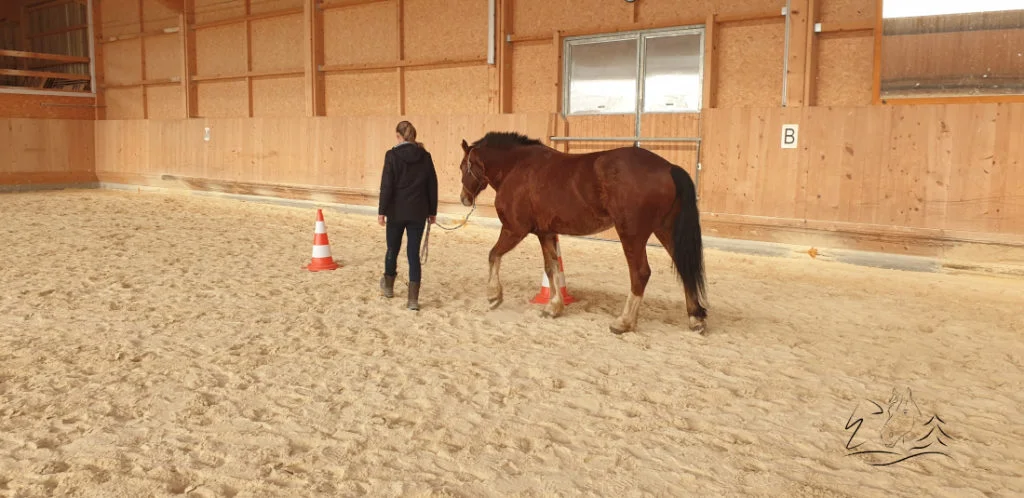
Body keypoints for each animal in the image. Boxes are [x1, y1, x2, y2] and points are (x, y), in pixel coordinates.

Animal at [456, 131, 708, 335]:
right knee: (684, 267)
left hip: (632, 235)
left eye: (462, 166)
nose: (464, 198)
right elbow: (552, 268)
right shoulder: (546, 233)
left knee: (640, 273)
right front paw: (554, 307)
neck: (517, 166)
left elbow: (493, 255)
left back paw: (623, 322)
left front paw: (494, 296)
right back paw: (695, 318)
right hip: (665, 230)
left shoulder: (514, 229)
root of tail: (668, 167)